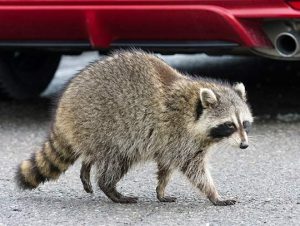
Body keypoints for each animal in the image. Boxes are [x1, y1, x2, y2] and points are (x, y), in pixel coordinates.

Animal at [14, 50, 253, 206]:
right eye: (229, 125)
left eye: (244, 124)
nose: (244, 145)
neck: (194, 108)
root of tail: (64, 108)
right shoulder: (180, 136)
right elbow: (195, 170)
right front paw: (214, 195)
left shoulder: (170, 142)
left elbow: (165, 167)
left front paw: (161, 189)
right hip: (106, 127)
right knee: (115, 162)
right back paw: (111, 189)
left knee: (94, 154)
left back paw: (87, 165)